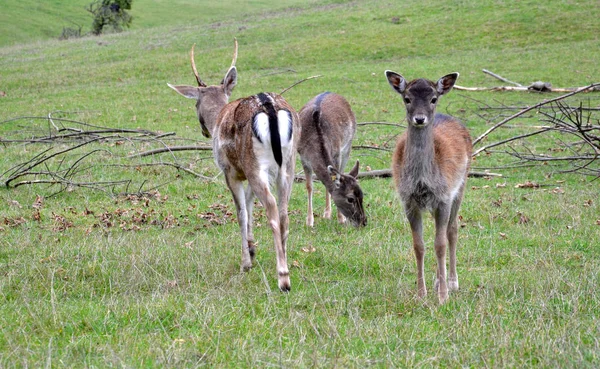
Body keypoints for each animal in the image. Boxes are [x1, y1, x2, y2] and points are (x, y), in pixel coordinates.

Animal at [168, 38, 300, 290]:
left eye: (195, 104)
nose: (204, 131)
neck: (218, 118)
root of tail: (269, 107)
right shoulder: (248, 171)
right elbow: (248, 204)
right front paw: (252, 249)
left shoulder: (230, 171)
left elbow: (241, 212)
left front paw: (246, 262)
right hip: (287, 163)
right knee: (284, 211)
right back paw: (286, 260)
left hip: (256, 163)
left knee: (271, 209)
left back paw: (283, 278)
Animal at [296, 90, 366, 226]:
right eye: (350, 199)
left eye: (362, 195)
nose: (363, 222)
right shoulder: (303, 158)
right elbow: (309, 186)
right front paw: (309, 221)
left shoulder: (337, 153)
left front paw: (341, 218)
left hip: (348, 145)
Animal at [384, 70, 474, 304]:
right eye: (407, 98)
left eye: (433, 98)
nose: (419, 118)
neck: (423, 180)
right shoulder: (409, 201)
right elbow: (419, 246)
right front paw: (420, 294)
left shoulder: (444, 197)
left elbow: (440, 244)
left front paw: (443, 297)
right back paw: (436, 281)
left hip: (461, 185)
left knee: (452, 230)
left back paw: (451, 282)